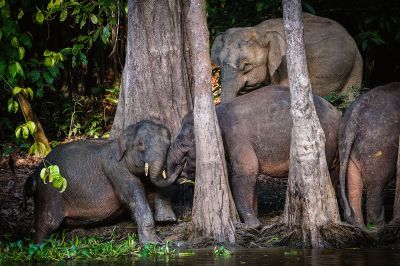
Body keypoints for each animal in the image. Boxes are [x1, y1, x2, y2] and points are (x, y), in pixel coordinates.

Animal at [22, 120, 177, 243]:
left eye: (169, 144)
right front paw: (153, 243)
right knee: (48, 223)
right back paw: (38, 246)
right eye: (141, 144)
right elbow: (134, 198)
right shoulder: (115, 168)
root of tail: (36, 172)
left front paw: (167, 220)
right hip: (48, 192)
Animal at [164, 86, 340, 228]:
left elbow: (246, 172)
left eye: (183, 145)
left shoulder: (236, 137)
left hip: (326, 141)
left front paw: (252, 225)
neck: (216, 111)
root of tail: (337, 112)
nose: (180, 172)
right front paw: (254, 218)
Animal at [338, 82, 400, 229]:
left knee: (354, 188)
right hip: (378, 145)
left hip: (345, 144)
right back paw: (380, 229)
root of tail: (353, 118)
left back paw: (360, 228)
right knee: (376, 187)